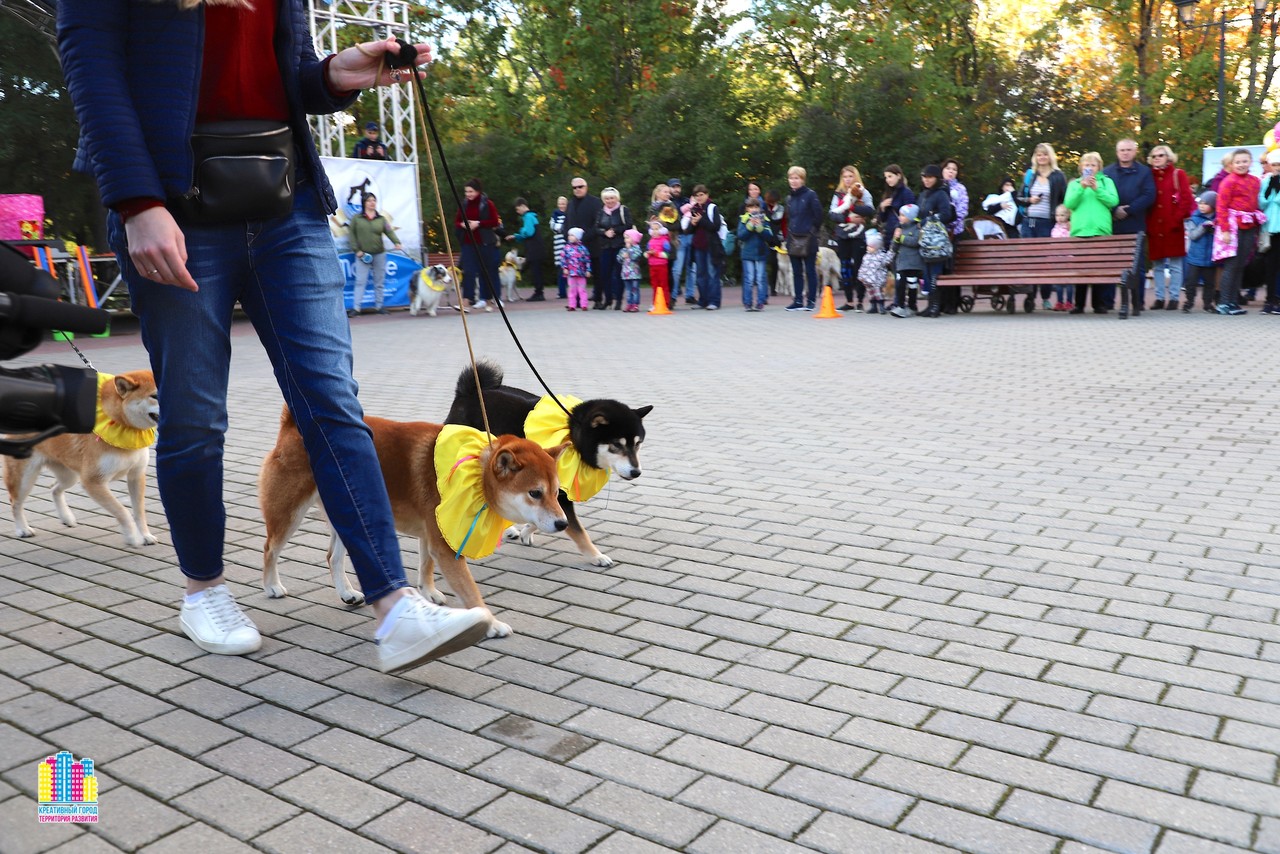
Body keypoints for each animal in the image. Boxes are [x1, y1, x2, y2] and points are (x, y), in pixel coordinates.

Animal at [4, 370, 159, 547]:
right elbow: (123, 511)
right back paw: (22, 529)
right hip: (25, 478)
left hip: (70, 475)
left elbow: (139, 512)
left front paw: (145, 535)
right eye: (155, 396)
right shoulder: (92, 481)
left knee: (54, 489)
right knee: (15, 502)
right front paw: (132, 537)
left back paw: (66, 517)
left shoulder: (136, 475)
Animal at [258, 407, 568, 637]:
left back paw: (347, 593)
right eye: (535, 493)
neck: (475, 471)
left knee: (332, 556)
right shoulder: (442, 545)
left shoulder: (431, 534)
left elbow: (425, 565)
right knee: (270, 549)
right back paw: (272, 586)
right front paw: (491, 623)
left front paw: (428, 593)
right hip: (289, 512)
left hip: (348, 511)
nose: (563, 523)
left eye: (556, 492)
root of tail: (292, 423)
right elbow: (470, 590)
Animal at [445, 362, 651, 568]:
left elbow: (548, 516)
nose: (636, 472)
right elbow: (578, 531)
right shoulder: (555, 492)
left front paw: (527, 530)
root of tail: (468, 392)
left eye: (638, 443)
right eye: (617, 445)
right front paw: (596, 556)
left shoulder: (551, 491)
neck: (573, 435)